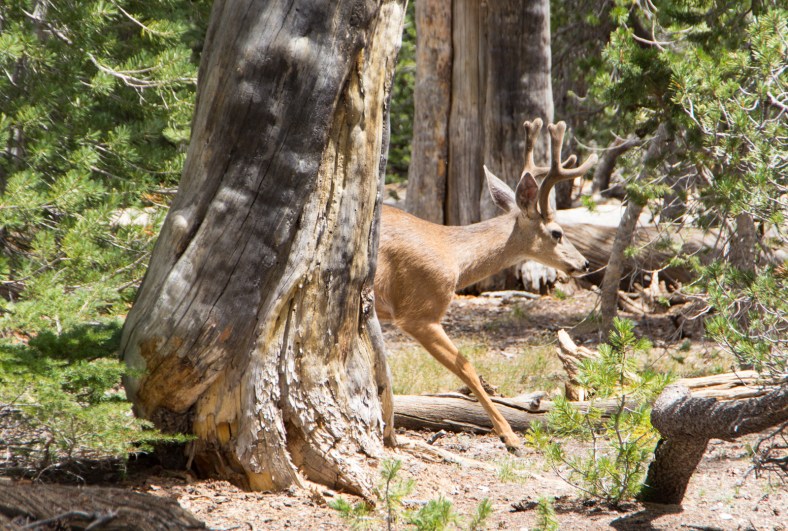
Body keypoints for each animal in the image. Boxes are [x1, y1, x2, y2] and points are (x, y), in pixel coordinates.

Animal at [374, 119, 598, 452]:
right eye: (557, 233)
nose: (584, 264)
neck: (456, 256)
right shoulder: (420, 312)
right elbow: (467, 366)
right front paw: (510, 436)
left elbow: (383, 368)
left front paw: (390, 434)